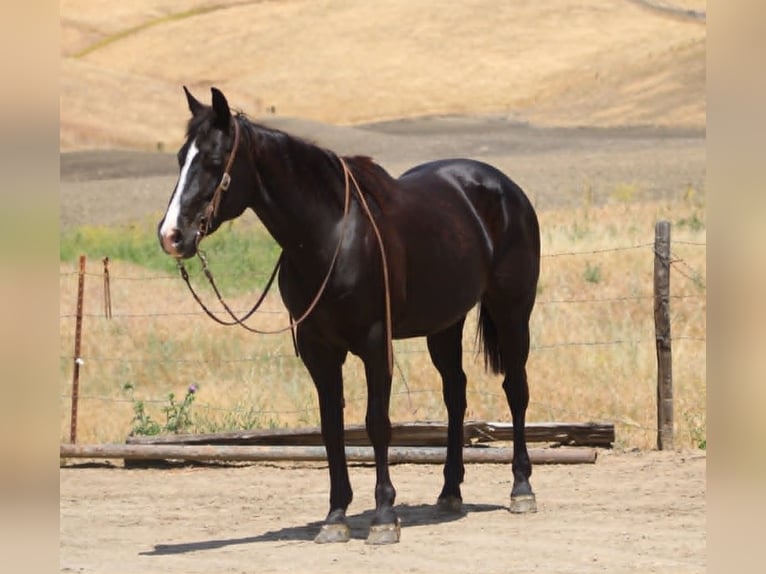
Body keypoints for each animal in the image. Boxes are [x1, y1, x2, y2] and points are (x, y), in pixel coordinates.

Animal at [158, 87, 541, 545]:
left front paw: (384, 516)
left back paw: (522, 488)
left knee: (515, 389)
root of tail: (506, 188)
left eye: (215, 161)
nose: (171, 236)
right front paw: (335, 516)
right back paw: (449, 492)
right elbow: (331, 427)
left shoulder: (375, 343)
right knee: (456, 394)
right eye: (181, 157)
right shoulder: (318, 350)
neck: (330, 236)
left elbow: (377, 422)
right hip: (445, 325)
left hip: (512, 311)